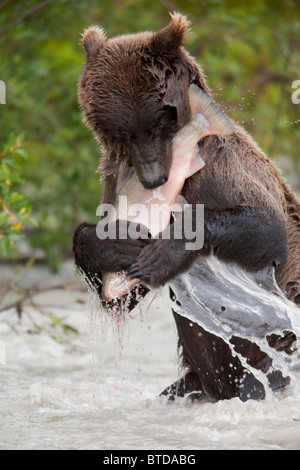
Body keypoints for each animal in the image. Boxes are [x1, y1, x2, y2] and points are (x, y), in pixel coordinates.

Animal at [73, 14, 300, 402]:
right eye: (124, 132)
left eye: (156, 122)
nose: (153, 178)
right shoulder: (114, 180)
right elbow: (119, 297)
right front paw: (118, 241)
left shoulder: (223, 165)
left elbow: (267, 227)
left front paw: (165, 251)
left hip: (279, 340)